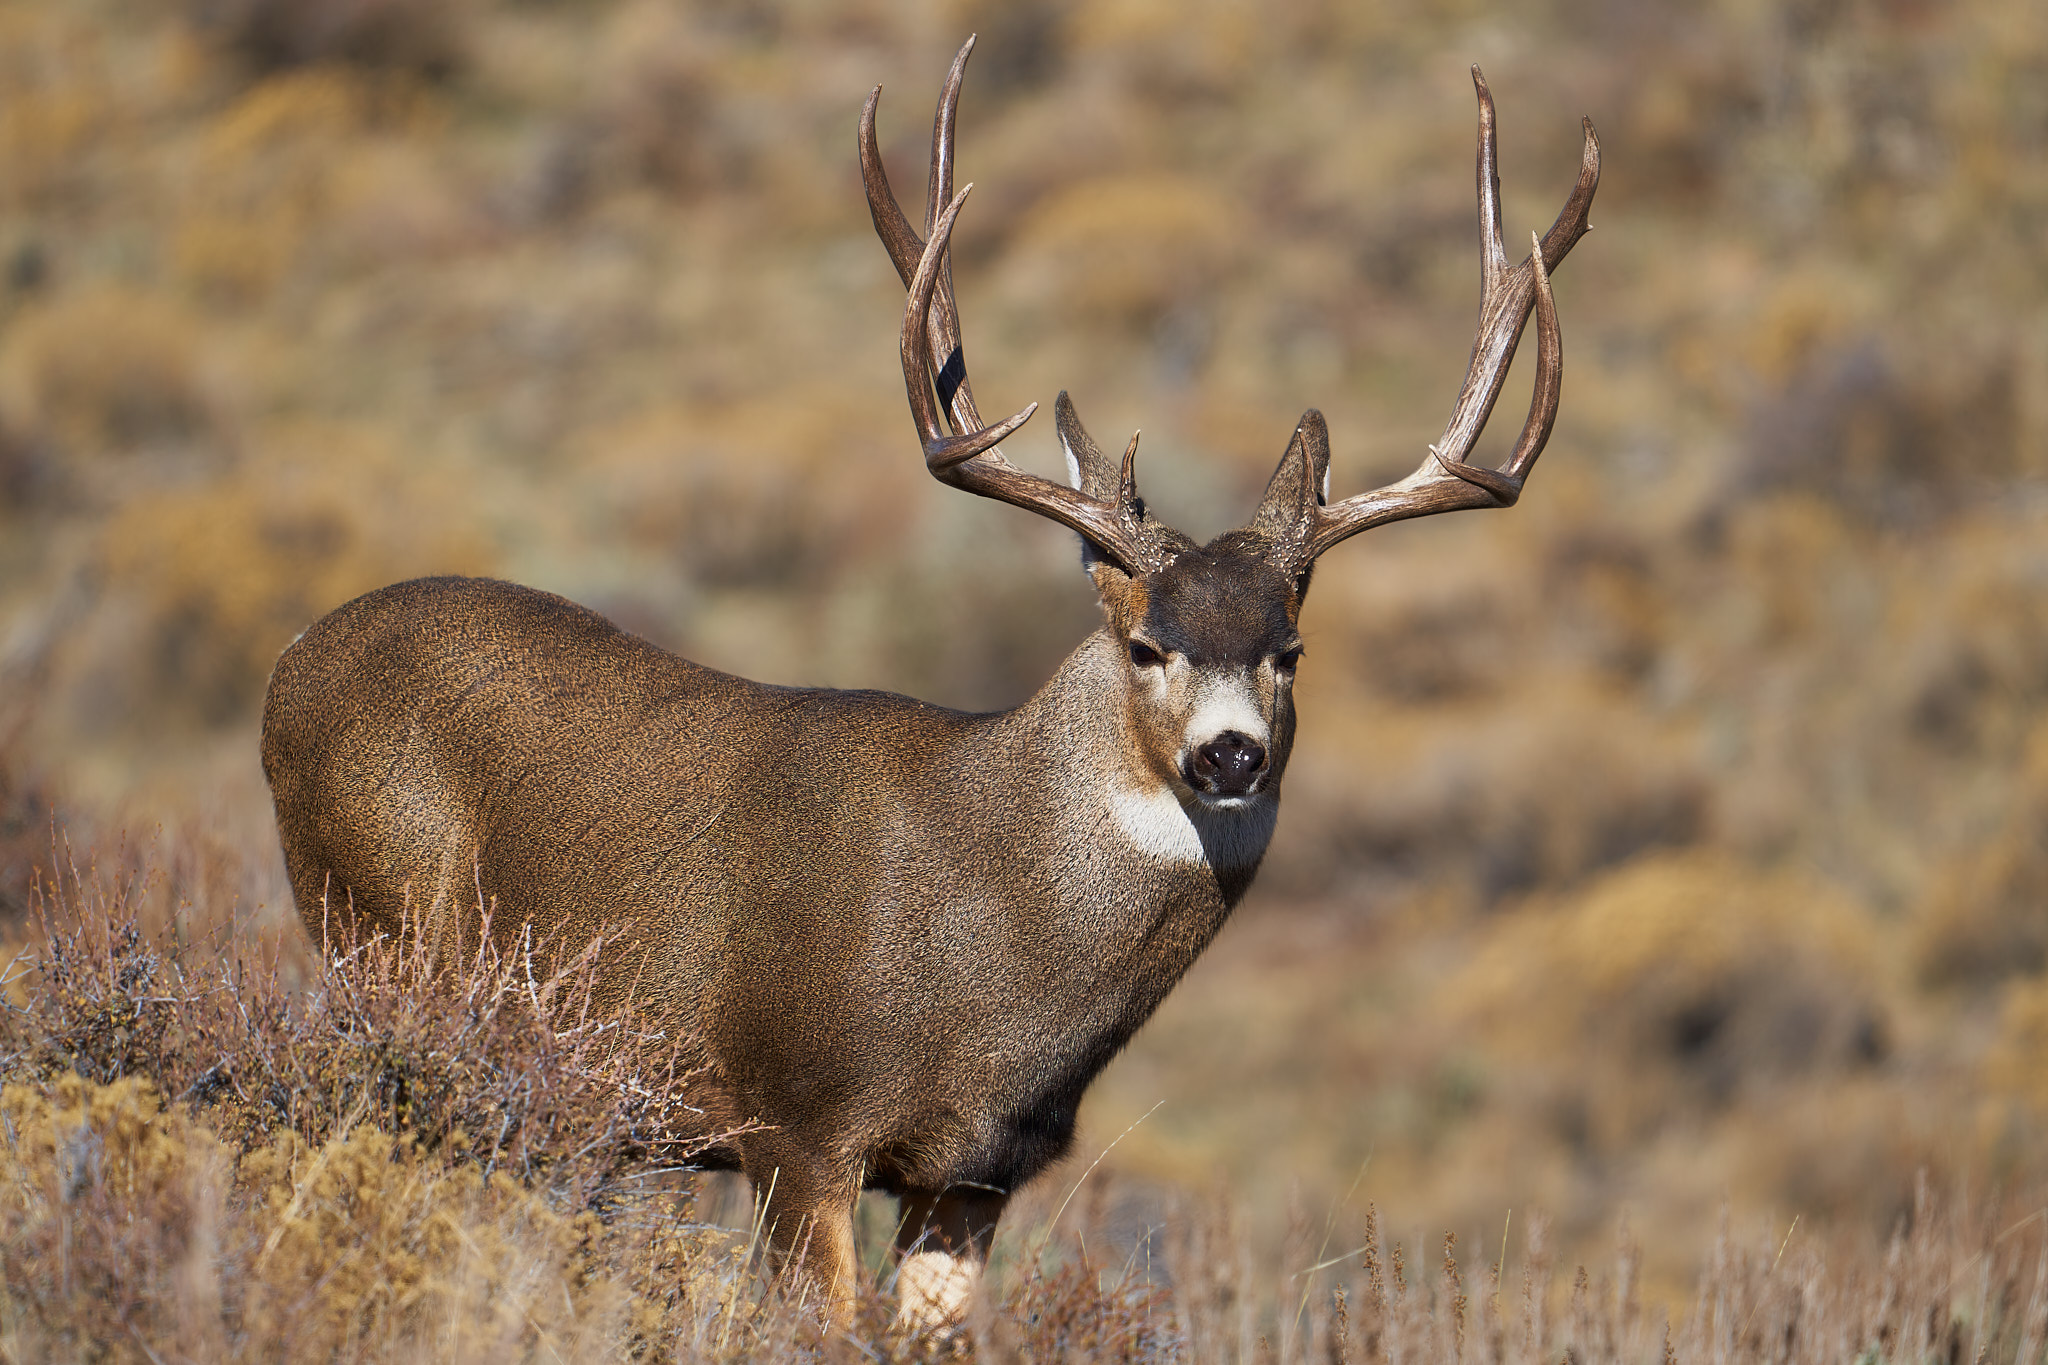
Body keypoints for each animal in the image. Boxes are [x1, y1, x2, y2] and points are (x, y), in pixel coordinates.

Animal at [260, 37, 1599, 1330]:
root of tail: (292, 662)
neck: (989, 947)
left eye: (1290, 651)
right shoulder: (793, 1118)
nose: (1230, 754)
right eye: (1145, 646)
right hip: (372, 932)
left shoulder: (974, 1174)